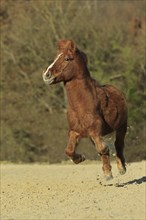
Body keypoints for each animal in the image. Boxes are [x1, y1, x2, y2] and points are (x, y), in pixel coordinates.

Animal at [42, 40, 127, 180]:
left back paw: (121, 168)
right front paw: (81, 158)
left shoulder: (95, 131)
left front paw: (108, 174)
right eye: (55, 57)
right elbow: (69, 150)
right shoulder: (75, 132)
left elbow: (103, 148)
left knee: (118, 145)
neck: (80, 106)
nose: (46, 75)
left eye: (67, 58)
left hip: (121, 127)